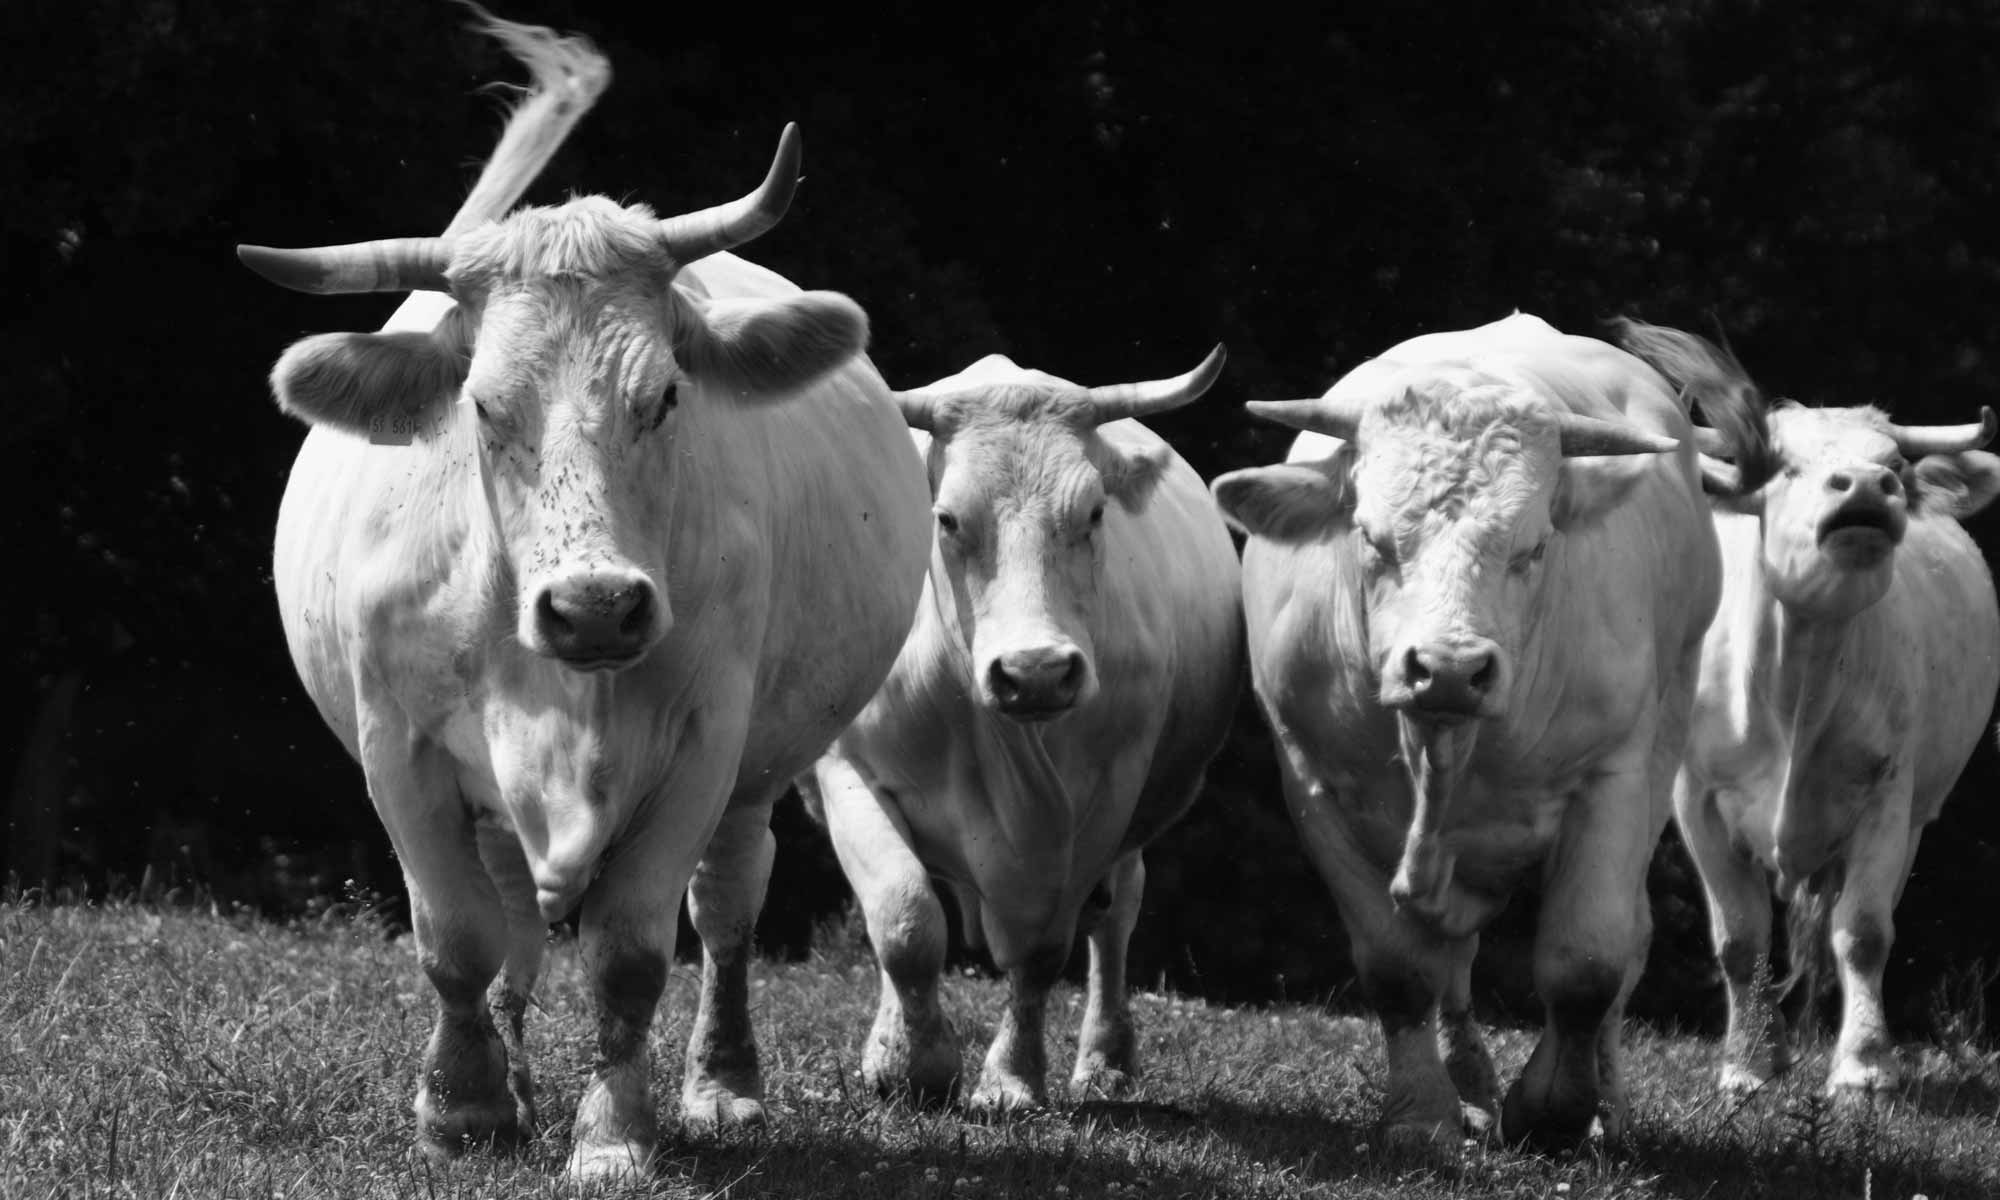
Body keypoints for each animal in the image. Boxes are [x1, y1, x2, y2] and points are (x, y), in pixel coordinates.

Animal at [236, 18, 928, 1184]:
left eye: (666, 396)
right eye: (481, 404)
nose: (597, 607)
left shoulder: (702, 744)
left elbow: (630, 956)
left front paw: (613, 1136)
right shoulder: (397, 747)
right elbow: (457, 941)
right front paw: (465, 1109)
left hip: (756, 776)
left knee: (727, 907)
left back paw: (722, 1086)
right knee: (512, 925)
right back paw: (513, 1082)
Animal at [800, 350, 1240, 1112]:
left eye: (1094, 511)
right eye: (946, 518)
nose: (1035, 672)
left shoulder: (1105, 801)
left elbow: (1041, 951)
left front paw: (1009, 1078)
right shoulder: (848, 770)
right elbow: (904, 917)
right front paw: (912, 1063)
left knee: (1116, 918)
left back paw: (1106, 1059)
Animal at [1200, 314, 1752, 1152]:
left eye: (1534, 547)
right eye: (1370, 538)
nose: (1451, 670)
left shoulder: (1616, 778)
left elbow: (1588, 961)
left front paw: (1553, 1109)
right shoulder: (1313, 782)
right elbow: (1399, 969)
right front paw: (1421, 1114)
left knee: (1626, 944)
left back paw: (1606, 1108)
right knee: (1453, 962)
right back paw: (1470, 1086)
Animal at [1624, 322, 2000, 1104]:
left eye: (1893, 463)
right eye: (1786, 467)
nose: (1865, 487)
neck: (1795, 680)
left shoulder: (1888, 798)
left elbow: (1863, 932)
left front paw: (1862, 1068)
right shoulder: (1696, 801)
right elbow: (1739, 940)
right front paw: (1745, 1063)